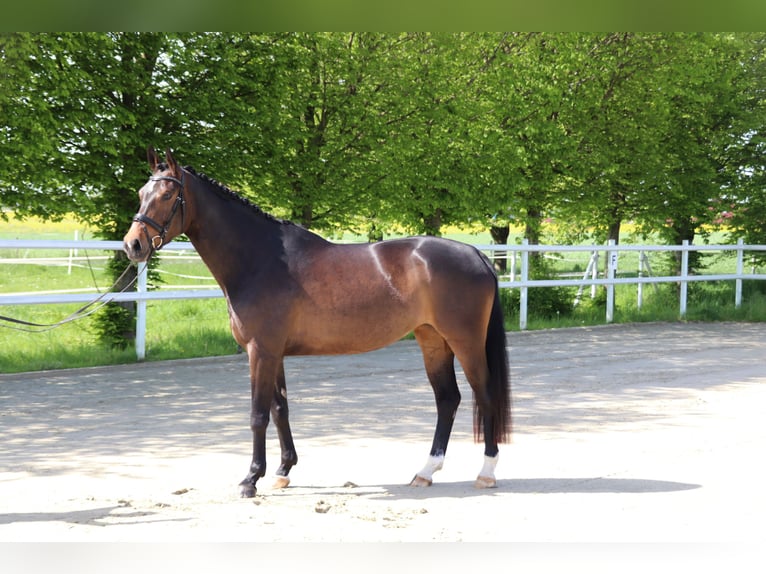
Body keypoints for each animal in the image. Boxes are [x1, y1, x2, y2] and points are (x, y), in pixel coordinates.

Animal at [123, 148, 512, 500]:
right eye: (141, 194)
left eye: (168, 195)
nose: (133, 245)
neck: (259, 260)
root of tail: (476, 254)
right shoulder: (274, 353)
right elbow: (280, 409)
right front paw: (282, 471)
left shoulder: (260, 352)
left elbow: (258, 414)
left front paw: (250, 479)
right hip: (432, 340)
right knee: (447, 399)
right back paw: (425, 472)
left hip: (465, 342)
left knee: (484, 394)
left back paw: (487, 472)